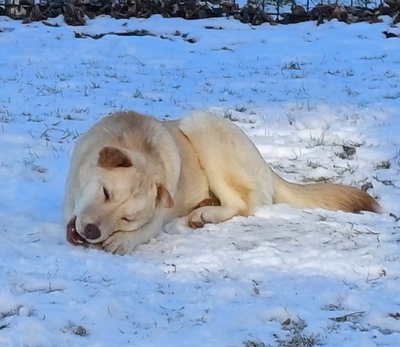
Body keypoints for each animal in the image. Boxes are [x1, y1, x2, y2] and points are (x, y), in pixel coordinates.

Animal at [62, 111, 378, 256]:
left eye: (127, 218)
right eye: (106, 193)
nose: (92, 231)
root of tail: (266, 164)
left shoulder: (159, 215)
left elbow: (144, 231)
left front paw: (122, 240)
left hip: (200, 127)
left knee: (243, 204)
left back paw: (205, 214)